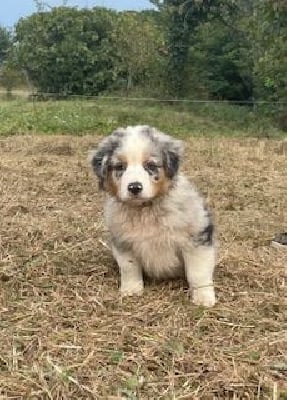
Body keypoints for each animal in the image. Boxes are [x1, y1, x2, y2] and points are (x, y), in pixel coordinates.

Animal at [90, 125, 216, 306]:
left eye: (150, 165)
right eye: (120, 167)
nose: (134, 187)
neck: (146, 209)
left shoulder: (197, 239)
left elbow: (198, 272)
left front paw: (204, 298)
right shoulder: (124, 242)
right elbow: (129, 267)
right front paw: (131, 290)